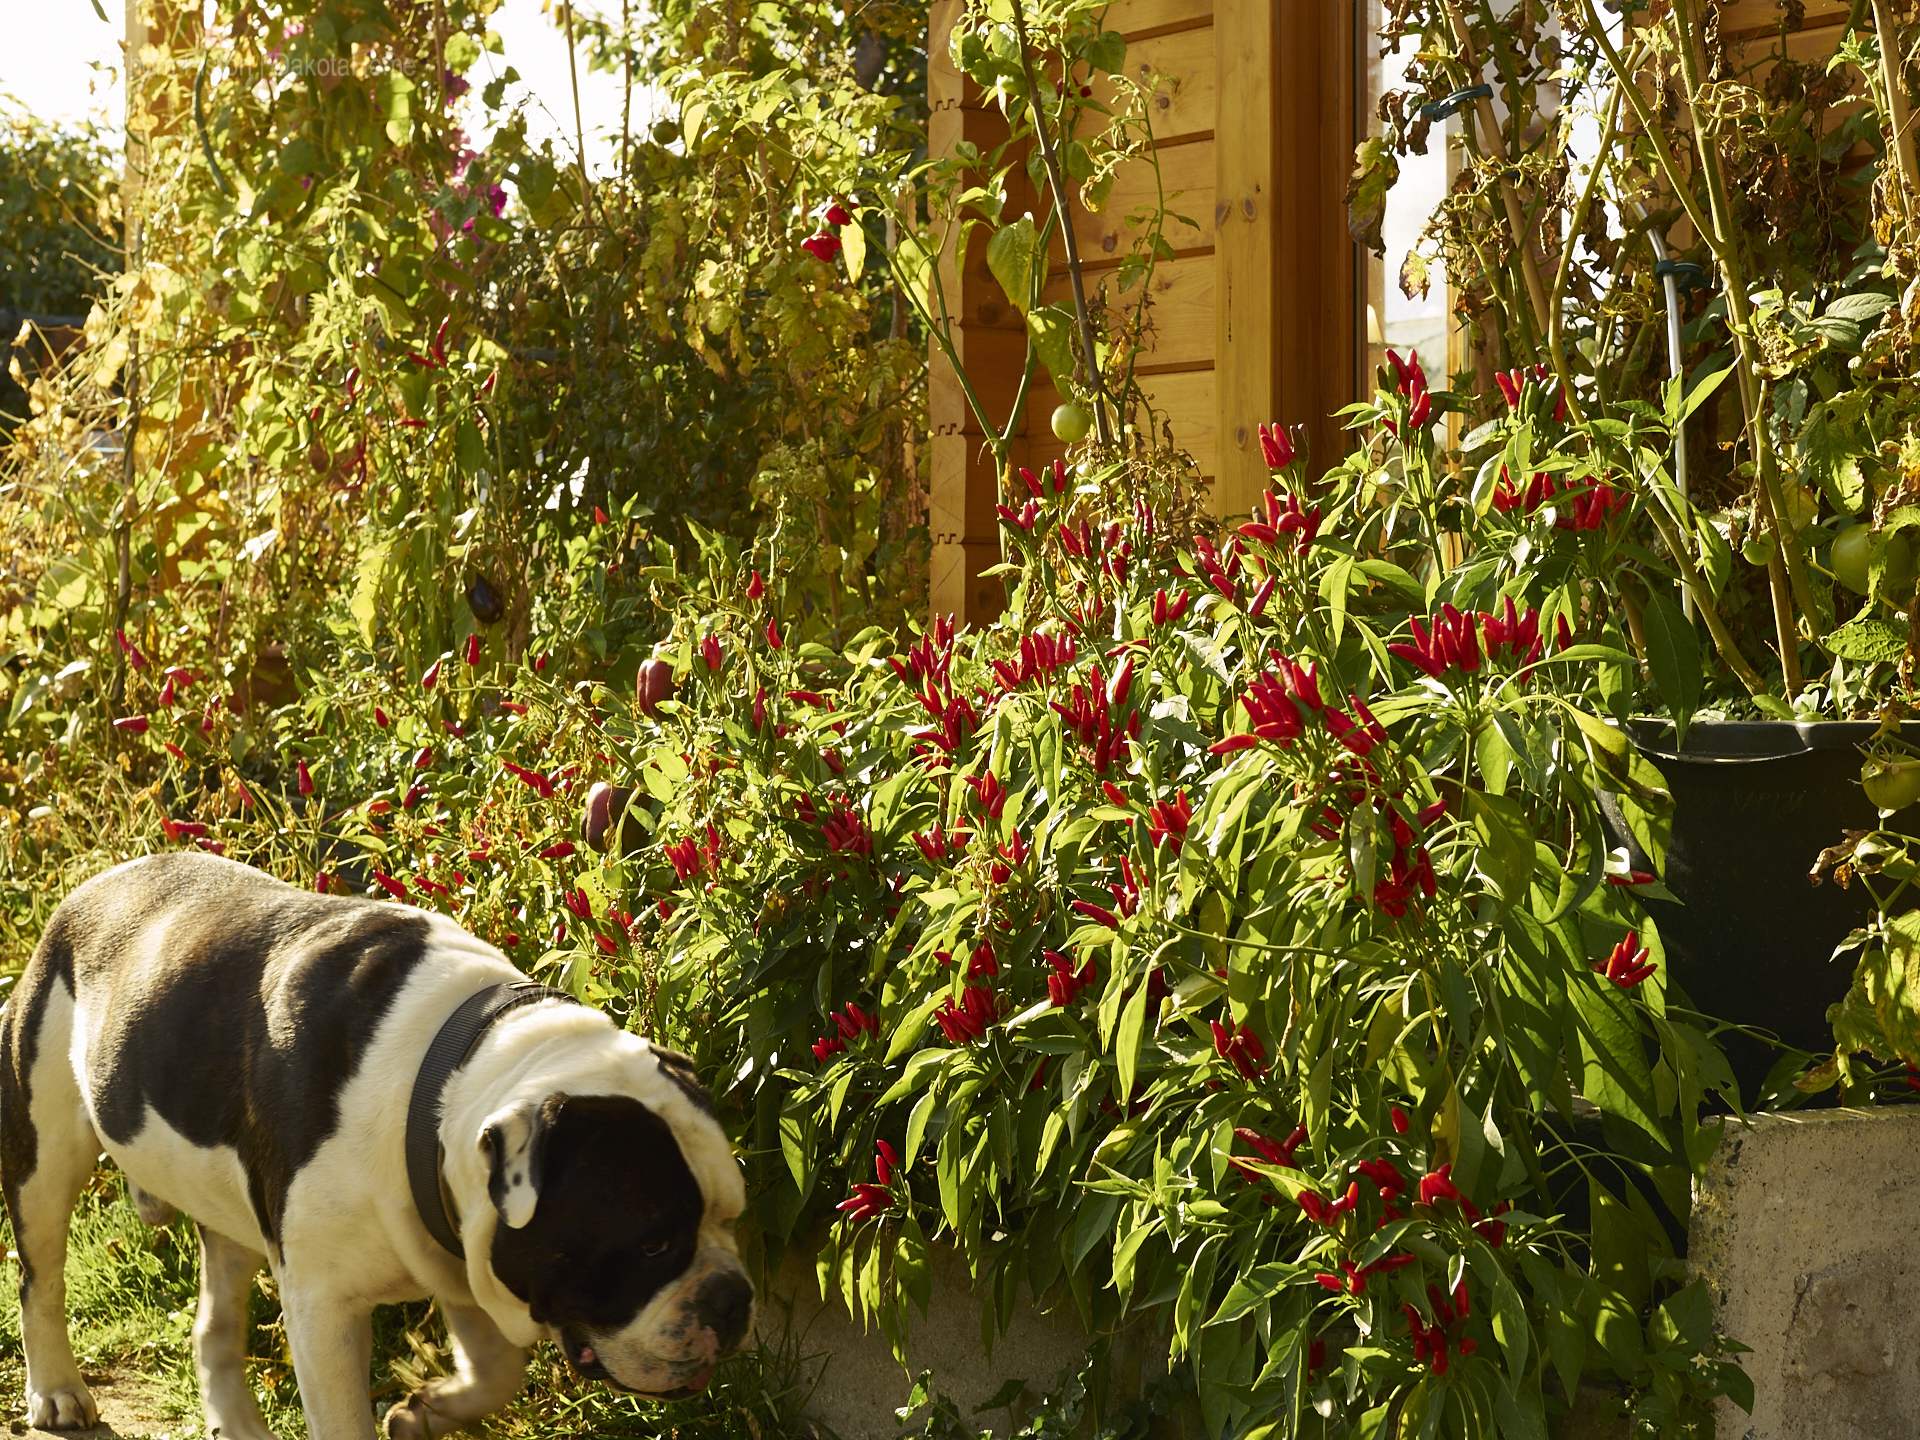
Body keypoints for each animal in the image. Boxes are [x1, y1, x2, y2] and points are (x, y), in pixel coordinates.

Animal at [1, 856, 756, 1440]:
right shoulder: (325, 1306)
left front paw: (425, 1410)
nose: (734, 1298)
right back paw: (57, 1392)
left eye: (733, 1217)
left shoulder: (456, 1240)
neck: (449, 1074)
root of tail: (90, 888)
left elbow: (497, 1371)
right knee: (40, 1276)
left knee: (215, 1321)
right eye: (654, 1243)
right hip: (43, 1156)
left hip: (230, 1215)